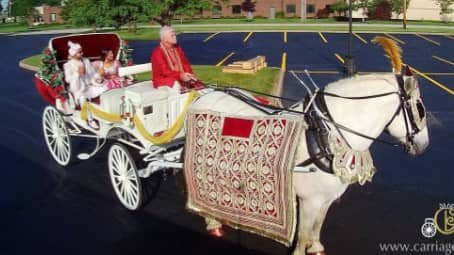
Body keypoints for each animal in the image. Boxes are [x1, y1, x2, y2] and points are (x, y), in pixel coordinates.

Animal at [188, 37, 430, 255]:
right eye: (420, 108)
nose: (424, 145)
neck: (326, 137)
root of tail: (205, 95)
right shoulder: (309, 200)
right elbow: (303, 233)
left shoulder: (327, 198)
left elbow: (318, 224)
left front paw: (316, 246)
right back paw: (212, 222)